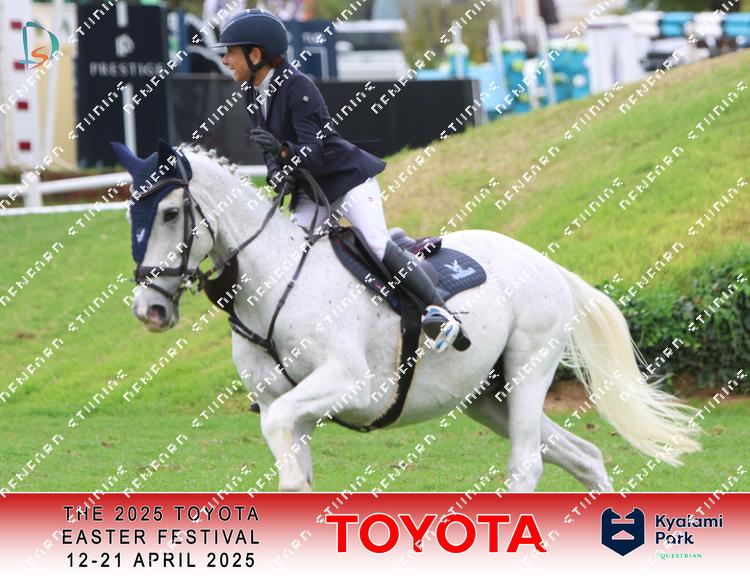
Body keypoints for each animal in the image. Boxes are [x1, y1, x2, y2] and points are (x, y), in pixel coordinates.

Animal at [117, 140, 700, 492]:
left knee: (527, 464)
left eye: (170, 213)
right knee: (583, 455)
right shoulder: (285, 403)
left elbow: (286, 448)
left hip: (529, 367)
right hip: (488, 396)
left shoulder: (349, 385)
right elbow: (293, 461)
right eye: (131, 215)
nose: (150, 310)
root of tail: (546, 263)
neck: (275, 281)